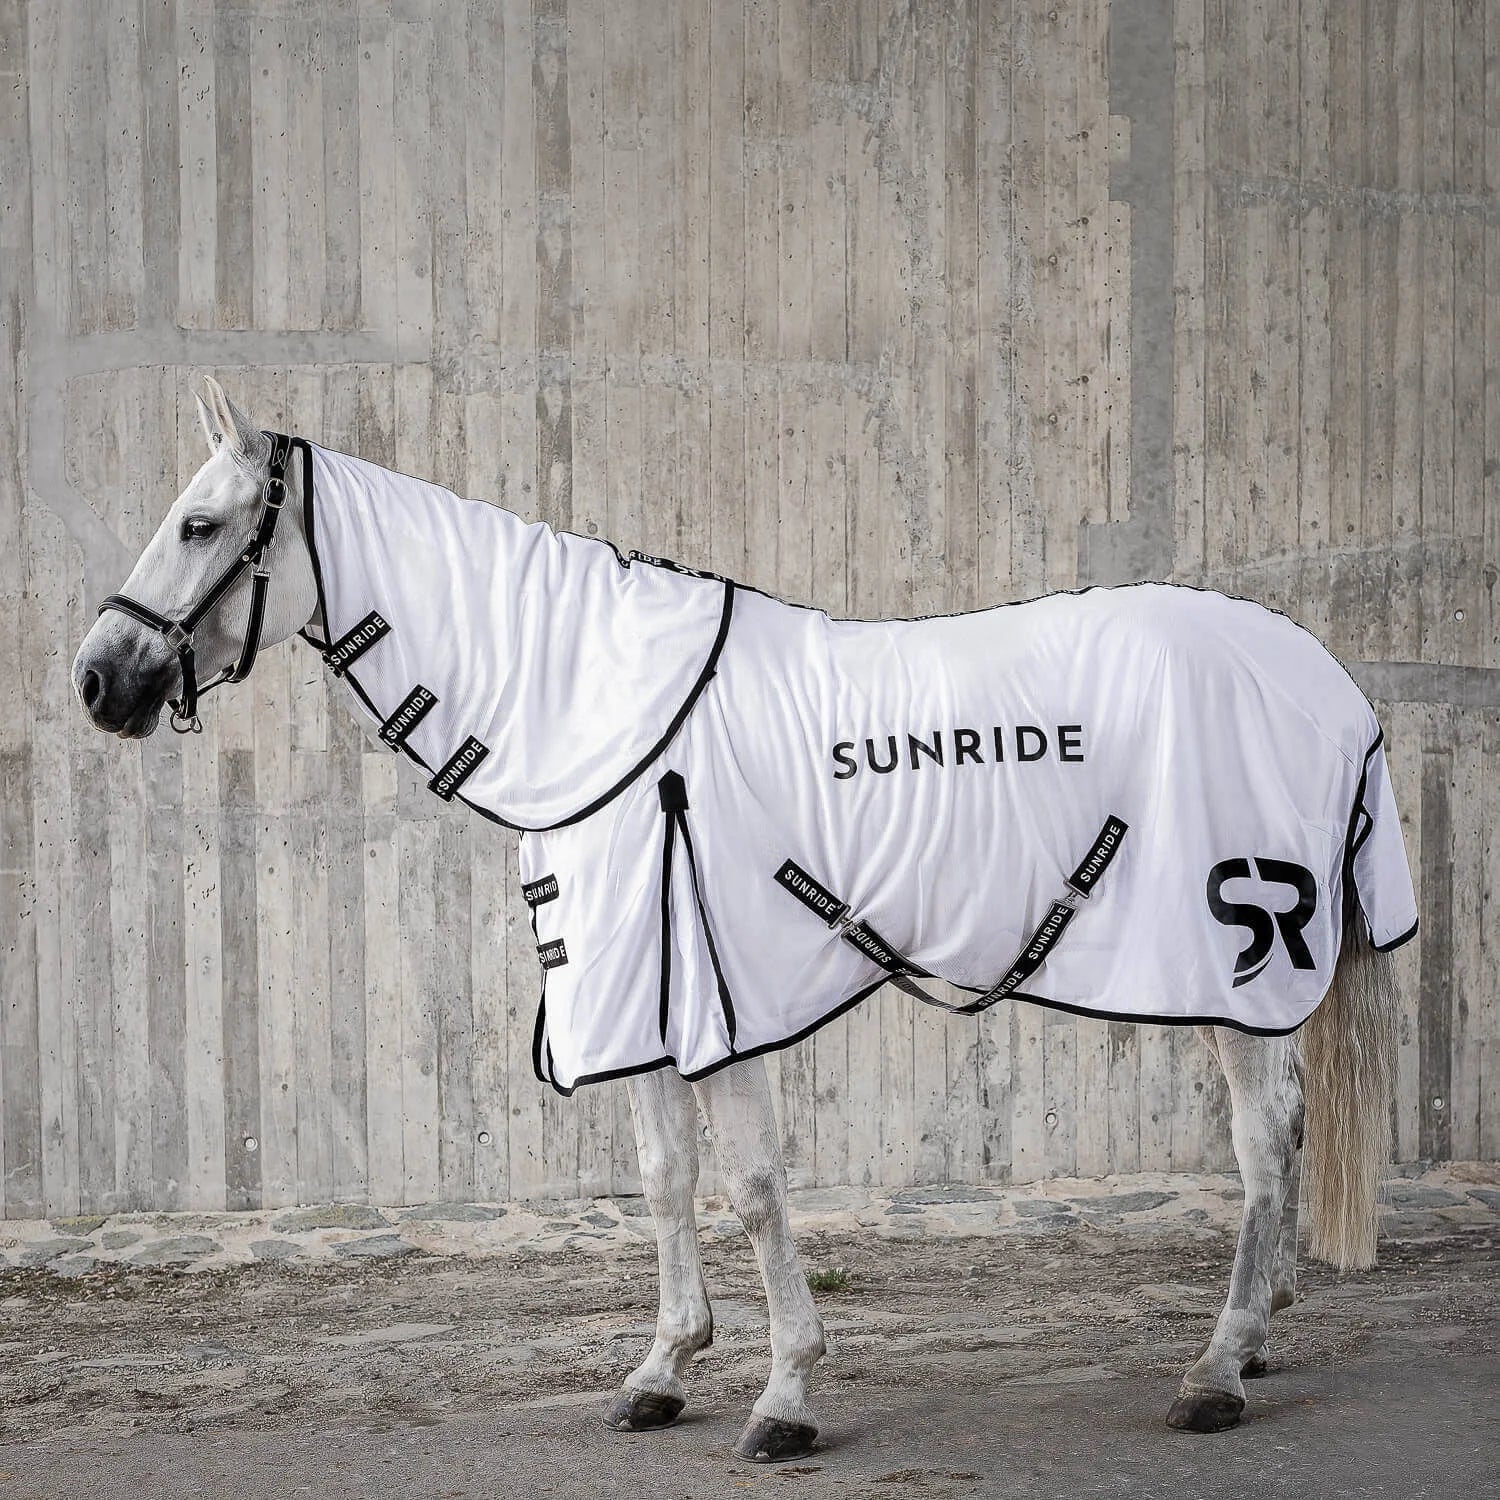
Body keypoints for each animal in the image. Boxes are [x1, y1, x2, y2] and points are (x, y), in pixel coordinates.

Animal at [73, 377, 1412, 1461]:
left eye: (198, 525)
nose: (96, 681)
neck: (595, 711)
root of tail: (1327, 682)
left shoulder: (721, 1001)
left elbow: (757, 1188)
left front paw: (786, 1398)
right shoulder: (633, 990)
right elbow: (665, 1181)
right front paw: (663, 1371)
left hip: (1236, 960)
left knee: (1263, 1139)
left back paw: (1216, 1371)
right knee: (1284, 1137)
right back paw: (1261, 1334)